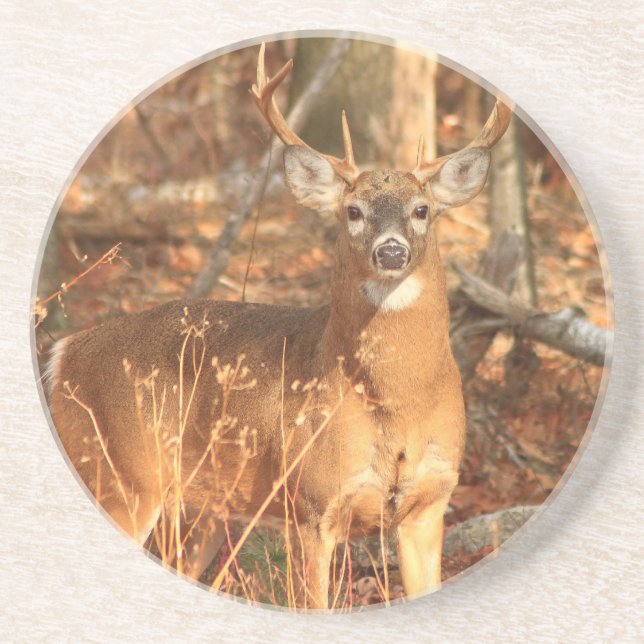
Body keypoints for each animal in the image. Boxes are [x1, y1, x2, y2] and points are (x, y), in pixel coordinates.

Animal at [45, 43, 511, 610]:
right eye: (352, 211)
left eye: (422, 209)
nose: (391, 250)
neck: (394, 405)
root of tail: (64, 352)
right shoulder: (309, 503)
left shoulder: (430, 503)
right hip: (119, 474)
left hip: (199, 508)